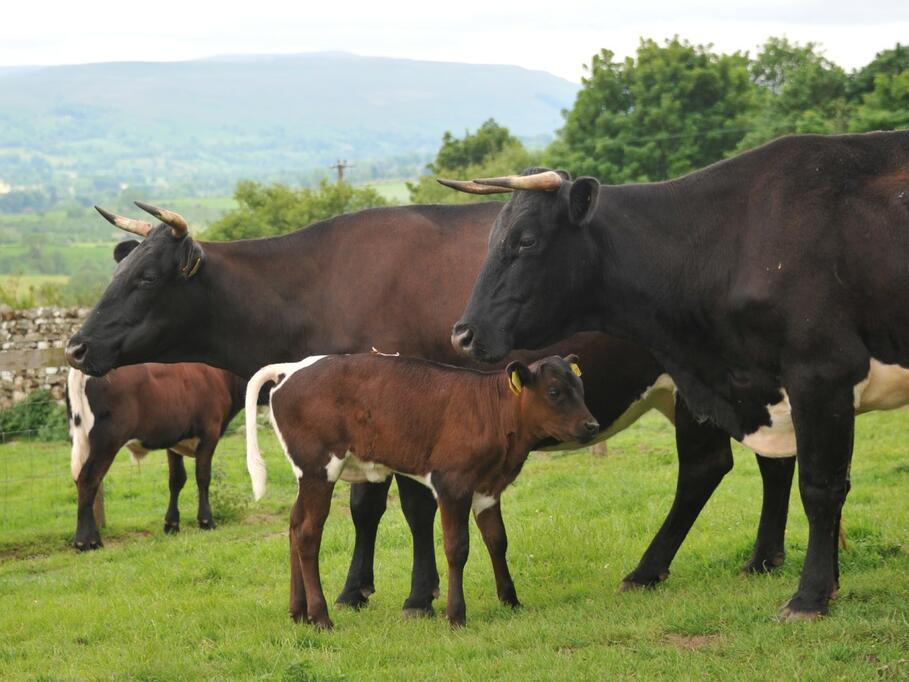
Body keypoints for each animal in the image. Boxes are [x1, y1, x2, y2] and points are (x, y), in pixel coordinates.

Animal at [67, 362, 247, 549]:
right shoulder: (209, 433)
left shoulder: (175, 441)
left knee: (81, 480)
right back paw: (86, 541)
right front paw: (206, 521)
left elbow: (176, 480)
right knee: (89, 480)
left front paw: (171, 524)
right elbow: (203, 477)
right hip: (107, 441)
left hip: (82, 440)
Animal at [245, 353, 598, 628]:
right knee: (307, 533)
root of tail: (291, 368)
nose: (592, 425)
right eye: (554, 391)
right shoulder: (453, 483)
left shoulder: (488, 487)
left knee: (294, 525)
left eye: (580, 388)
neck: (493, 412)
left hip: (306, 473)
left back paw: (298, 613)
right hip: (319, 468)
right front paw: (456, 615)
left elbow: (497, 540)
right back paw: (320, 617)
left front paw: (511, 601)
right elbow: (457, 548)